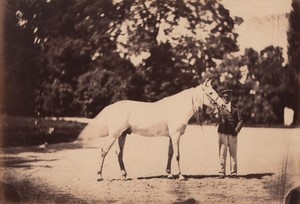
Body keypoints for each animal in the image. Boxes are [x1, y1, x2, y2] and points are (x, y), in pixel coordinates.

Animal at [77, 79, 225, 181]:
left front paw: (169, 174)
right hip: (114, 135)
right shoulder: (176, 136)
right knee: (104, 151)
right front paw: (181, 176)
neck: (177, 108)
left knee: (119, 154)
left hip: (122, 135)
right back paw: (99, 176)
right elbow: (177, 155)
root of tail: (113, 106)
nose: (223, 105)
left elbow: (170, 154)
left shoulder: (171, 136)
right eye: (211, 92)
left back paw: (125, 175)